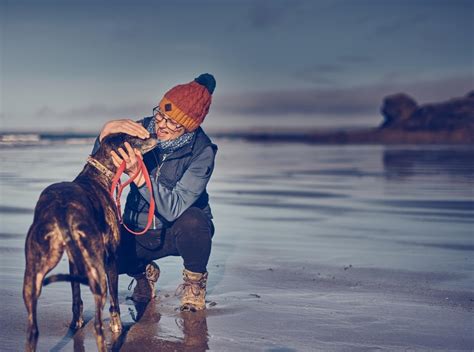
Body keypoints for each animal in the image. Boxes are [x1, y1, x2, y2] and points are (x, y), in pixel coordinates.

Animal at [22, 133, 156, 352]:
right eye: (134, 137)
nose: (153, 135)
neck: (96, 176)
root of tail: (61, 211)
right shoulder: (111, 258)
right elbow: (114, 301)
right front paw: (117, 326)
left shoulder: (73, 260)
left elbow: (76, 296)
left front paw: (76, 322)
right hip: (96, 270)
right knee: (98, 326)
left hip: (33, 273)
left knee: (32, 331)